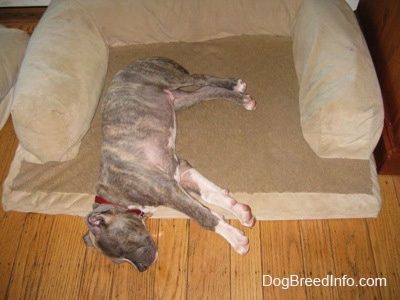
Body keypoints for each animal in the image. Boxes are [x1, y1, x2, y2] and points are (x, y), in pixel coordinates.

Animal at [83, 56, 256, 272]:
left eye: (122, 248)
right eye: (119, 259)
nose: (142, 268)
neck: (115, 197)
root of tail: (141, 59)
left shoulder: (168, 190)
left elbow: (204, 216)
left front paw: (234, 237)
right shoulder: (182, 172)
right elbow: (211, 195)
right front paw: (240, 211)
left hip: (171, 79)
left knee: (201, 78)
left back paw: (234, 84)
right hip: (179, 100)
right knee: (206, 90)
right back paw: (241, 98)